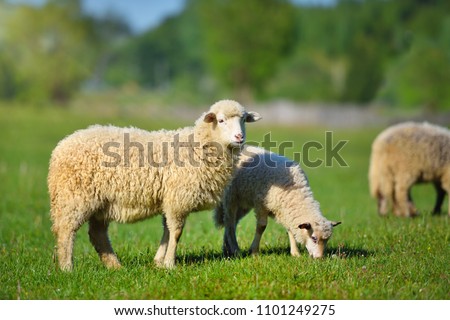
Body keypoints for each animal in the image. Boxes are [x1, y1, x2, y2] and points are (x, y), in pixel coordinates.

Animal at [47, 100, 260, 270]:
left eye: (243, 119)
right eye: (221, 120)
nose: (239, 137)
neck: (199, 146)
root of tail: (61, 146)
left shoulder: (169, 199)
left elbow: (167, 230)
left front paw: (159, 261)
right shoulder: (177, 199)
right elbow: (176, 232)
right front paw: (170, 264)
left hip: (101, 202)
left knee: (97, 234)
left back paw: (114, 266)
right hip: (74, 197)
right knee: (66, 230)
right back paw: (67, 268)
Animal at [214, 146, 342, 258]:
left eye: (327, 240)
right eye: (314, 238)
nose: (319, 258)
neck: (295, 192)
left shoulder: (285, 211)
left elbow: (290, 229)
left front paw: (295, 253)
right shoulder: (261, 204)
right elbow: (261, 227)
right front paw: (254, 251)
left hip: (243, 204)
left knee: (232, 222)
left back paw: (227, 248)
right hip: (231, 197)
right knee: (229, 222)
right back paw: (234, 248)